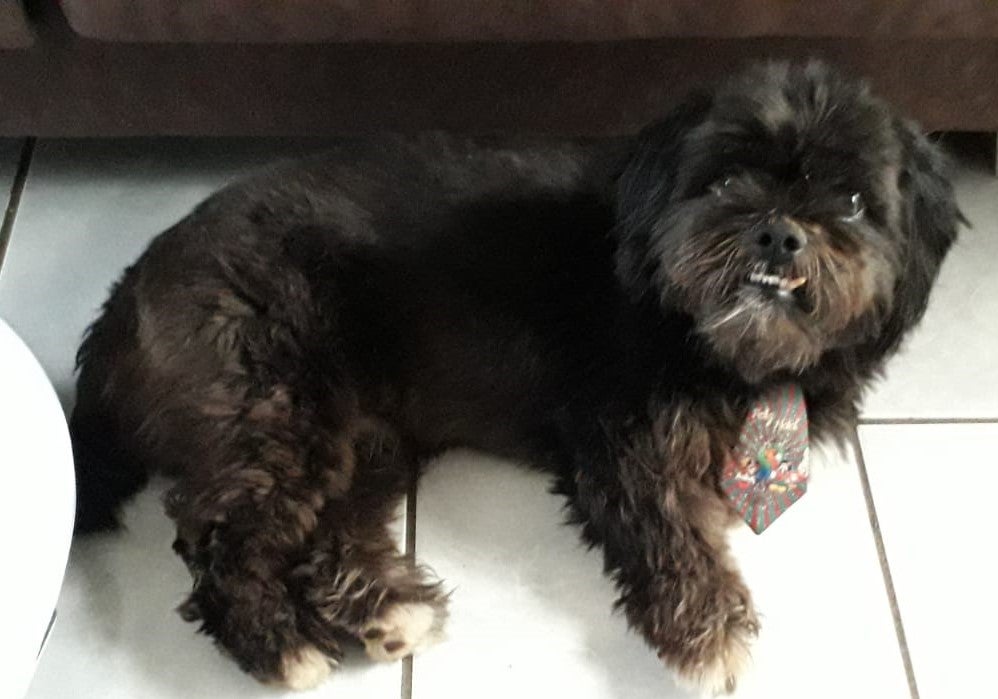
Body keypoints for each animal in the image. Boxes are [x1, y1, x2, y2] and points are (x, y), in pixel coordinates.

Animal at [70, 61, 960, 693]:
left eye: (852, 201)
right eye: (727, 178)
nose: (780, 232)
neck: (725, 343)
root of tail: (127, 291)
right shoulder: (618, 439)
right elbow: (668, 528)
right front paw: (710, 631)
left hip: (366, 435)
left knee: (325, 530)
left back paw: (385, 607)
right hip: (272, 405)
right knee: (221, 538)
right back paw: (279, 643)